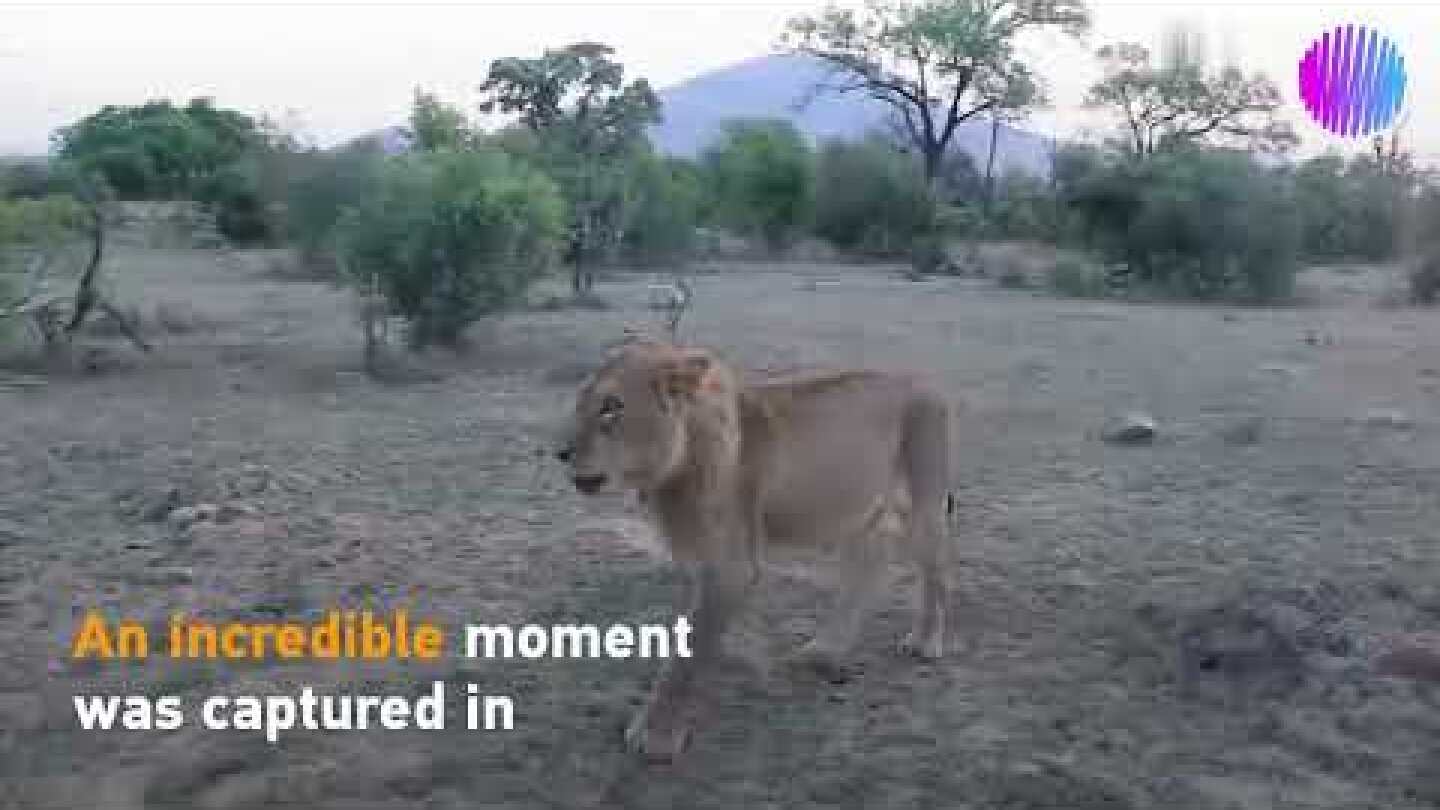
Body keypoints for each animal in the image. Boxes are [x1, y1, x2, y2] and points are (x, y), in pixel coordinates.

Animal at [555, 334, 952, 760]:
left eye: (611, 407)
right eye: (582, 400)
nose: (560, 453)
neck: (674, 470)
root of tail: (924, 378)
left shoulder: (731, 564)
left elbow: (686, 652)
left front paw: (656, 735)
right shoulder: (702, 557)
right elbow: (701, 632)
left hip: (925, 499)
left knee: (935, 570)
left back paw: (926, 642)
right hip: (858, 513)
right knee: (873, 558)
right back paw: (825, 650)